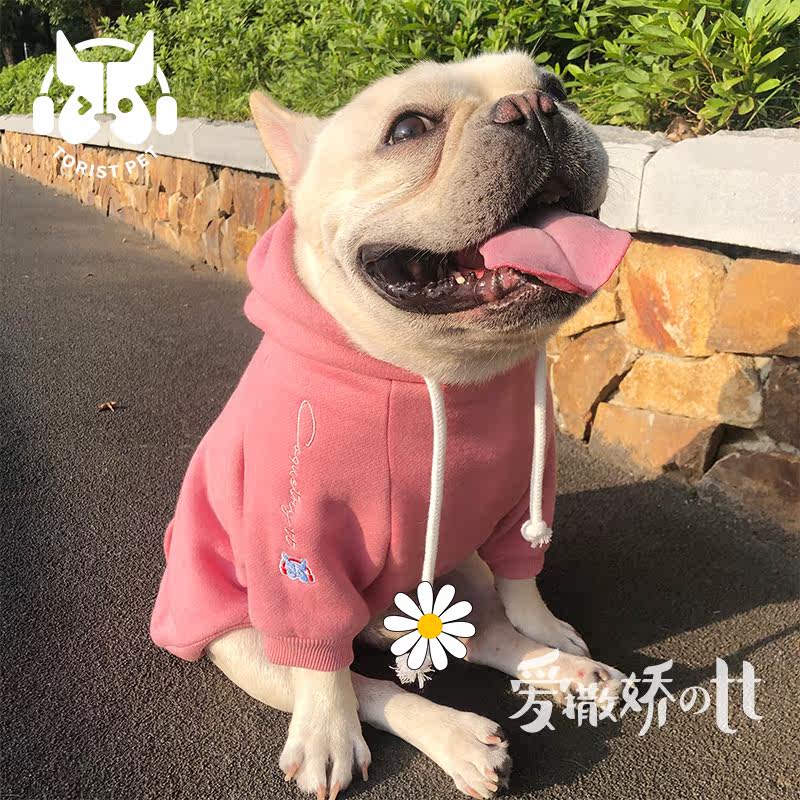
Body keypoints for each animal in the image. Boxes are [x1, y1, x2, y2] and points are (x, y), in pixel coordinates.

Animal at [151, 51, 631, 800]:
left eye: (556, 87)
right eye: (408, 128)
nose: (535, 108)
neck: (438, 373)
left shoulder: (525, 497)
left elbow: (522, 575)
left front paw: (548, 628)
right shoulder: (300, 546)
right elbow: (327, 672)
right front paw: (327, 734)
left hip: (458, 566)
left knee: (488, 635)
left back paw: (565, 671)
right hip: (244, 639)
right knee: (358, 683)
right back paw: (456, 738)